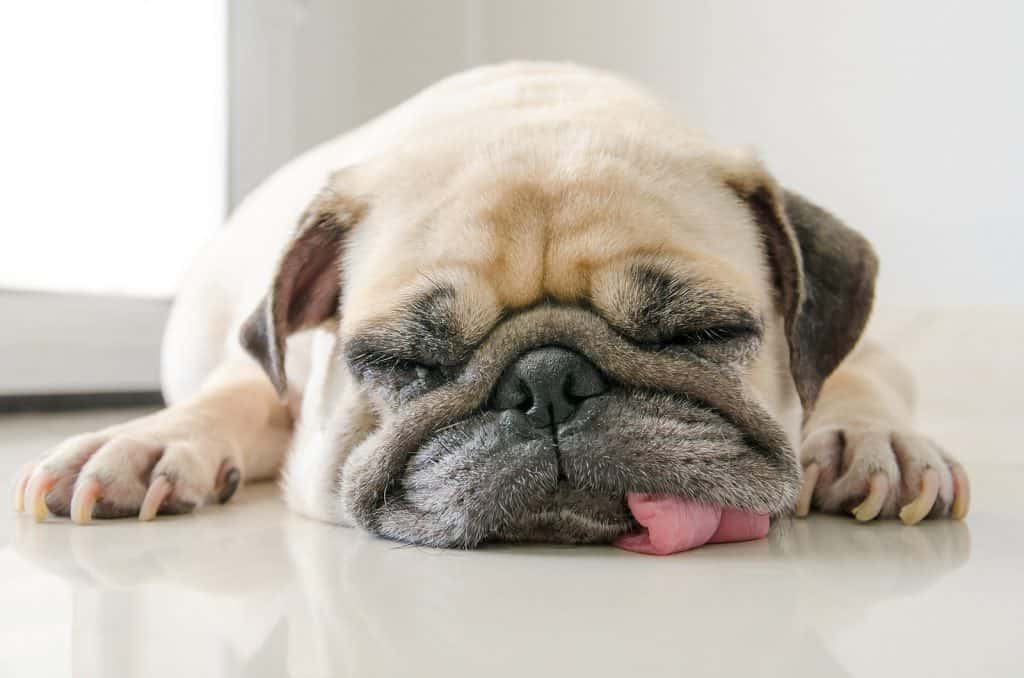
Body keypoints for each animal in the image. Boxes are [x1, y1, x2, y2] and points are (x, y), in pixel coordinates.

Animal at [14, 62, 966, 553]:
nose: (548, 384)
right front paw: (145, 443)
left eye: (702, 334)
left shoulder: (867, 351)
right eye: (405, 363)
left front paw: (869, 443)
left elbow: (857, 385)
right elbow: (232, 397)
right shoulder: (272, 376)